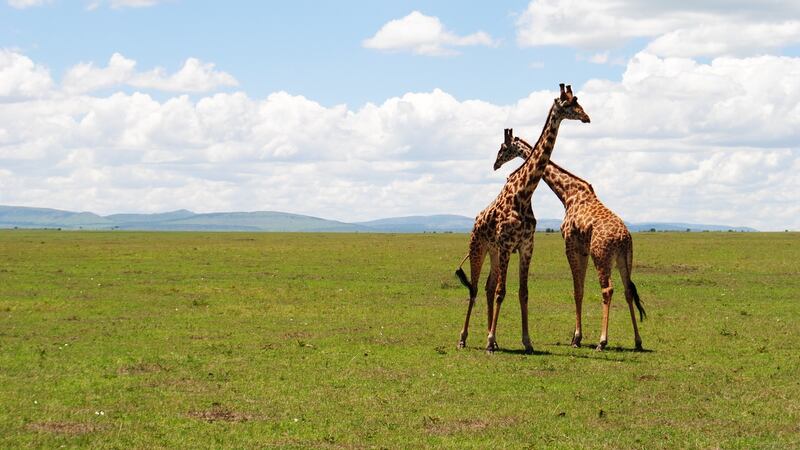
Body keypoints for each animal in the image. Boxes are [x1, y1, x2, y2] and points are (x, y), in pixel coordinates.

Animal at [455, 83, 591, 354]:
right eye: (568, 104)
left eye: (578, 101)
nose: (586, 117)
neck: (525, 193)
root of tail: (475, 222)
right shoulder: (508, 245)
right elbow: (502, 291)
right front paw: (488, 342)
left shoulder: (526, 246)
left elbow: (522, 292)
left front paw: (526, 342)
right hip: (478, 247)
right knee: (475, 289)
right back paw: (464, 339)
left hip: (494, 252)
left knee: (487, 286)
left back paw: (494, 338)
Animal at [493, 147, 646, 351]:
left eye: (503, 148)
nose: (496, 165)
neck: (568, 194)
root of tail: (623, 238)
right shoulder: (583, 249)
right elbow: (580, 288)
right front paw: (576, 337)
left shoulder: (571, 245)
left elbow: (576, 290)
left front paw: (576, 338)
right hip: (625, 258)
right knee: (628, 290)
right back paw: (638, 341)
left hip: (601, 257)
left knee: (607, 289)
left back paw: (602, 341)